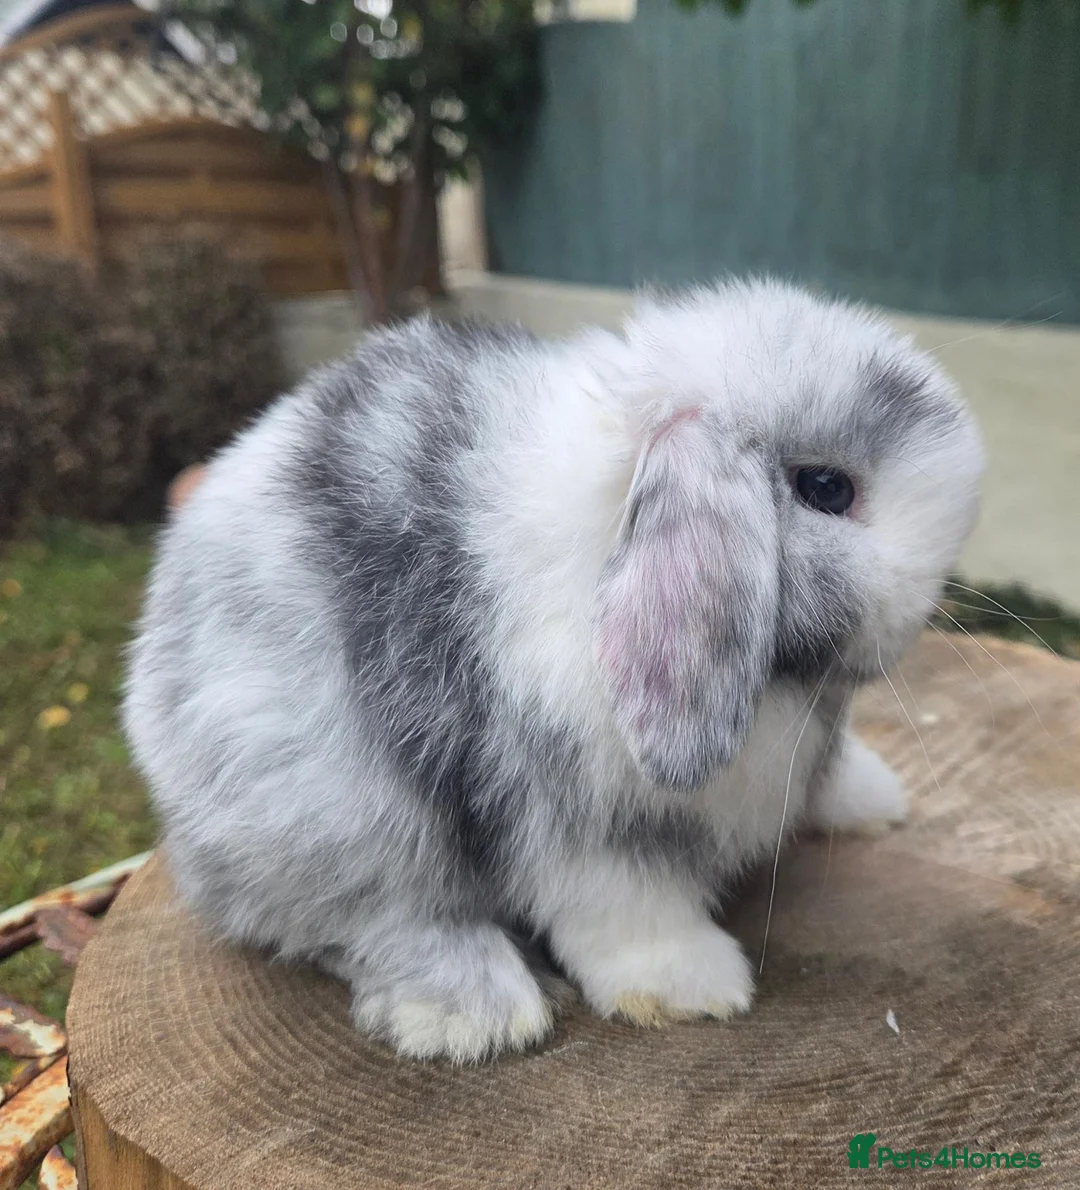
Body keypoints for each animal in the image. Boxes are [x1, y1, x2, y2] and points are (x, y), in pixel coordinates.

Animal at [123, 278, 985, 1063]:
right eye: (827, 488)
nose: (928, 599)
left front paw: (873, 801)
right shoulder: (573, 808)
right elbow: (623, 902)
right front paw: (694, 989)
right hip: (335, 813)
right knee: (365, 920)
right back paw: (476, 1013)